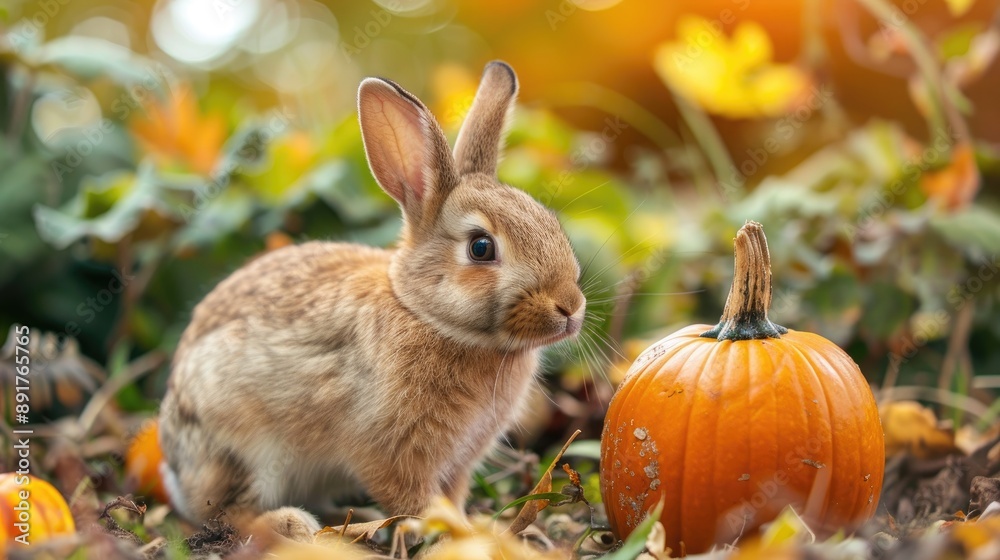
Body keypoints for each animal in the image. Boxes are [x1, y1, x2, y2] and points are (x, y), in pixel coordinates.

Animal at [157, 60, 586, 542]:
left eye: (550, 222)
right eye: (481, 248)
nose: (570, 307)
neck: (425, 314)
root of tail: (177, 472)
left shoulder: (460, 458)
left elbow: (450, 493)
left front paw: (467, 525)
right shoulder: (388, 449)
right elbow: (412, 497)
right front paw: (454, 533)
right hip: (245, 452)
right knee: (228, 512)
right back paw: (294, 525)